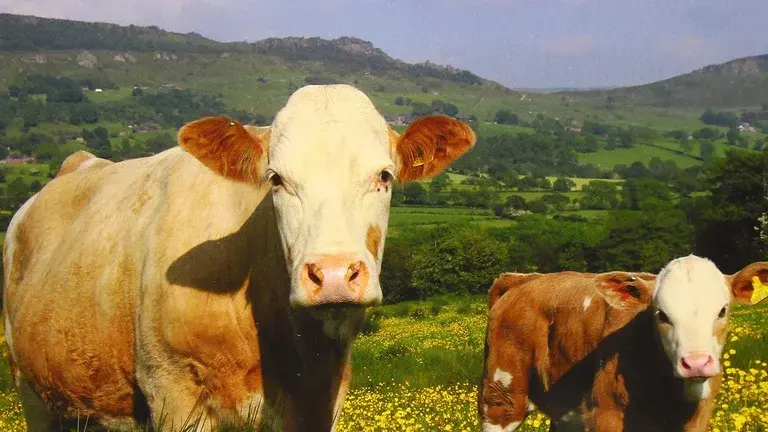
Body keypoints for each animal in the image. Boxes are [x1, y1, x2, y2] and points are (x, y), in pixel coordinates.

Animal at [3, 82, 476, 430]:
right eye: (276, 179)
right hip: (32, 390)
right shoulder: (172, 391)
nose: (334, 275)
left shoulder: (321, 402)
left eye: (384, 176)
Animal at [480, 256, 768, 432]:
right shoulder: (605, 414)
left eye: (722, 310)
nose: (696, 363)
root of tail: (523, 279)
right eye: (661, 314)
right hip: (501, 397)